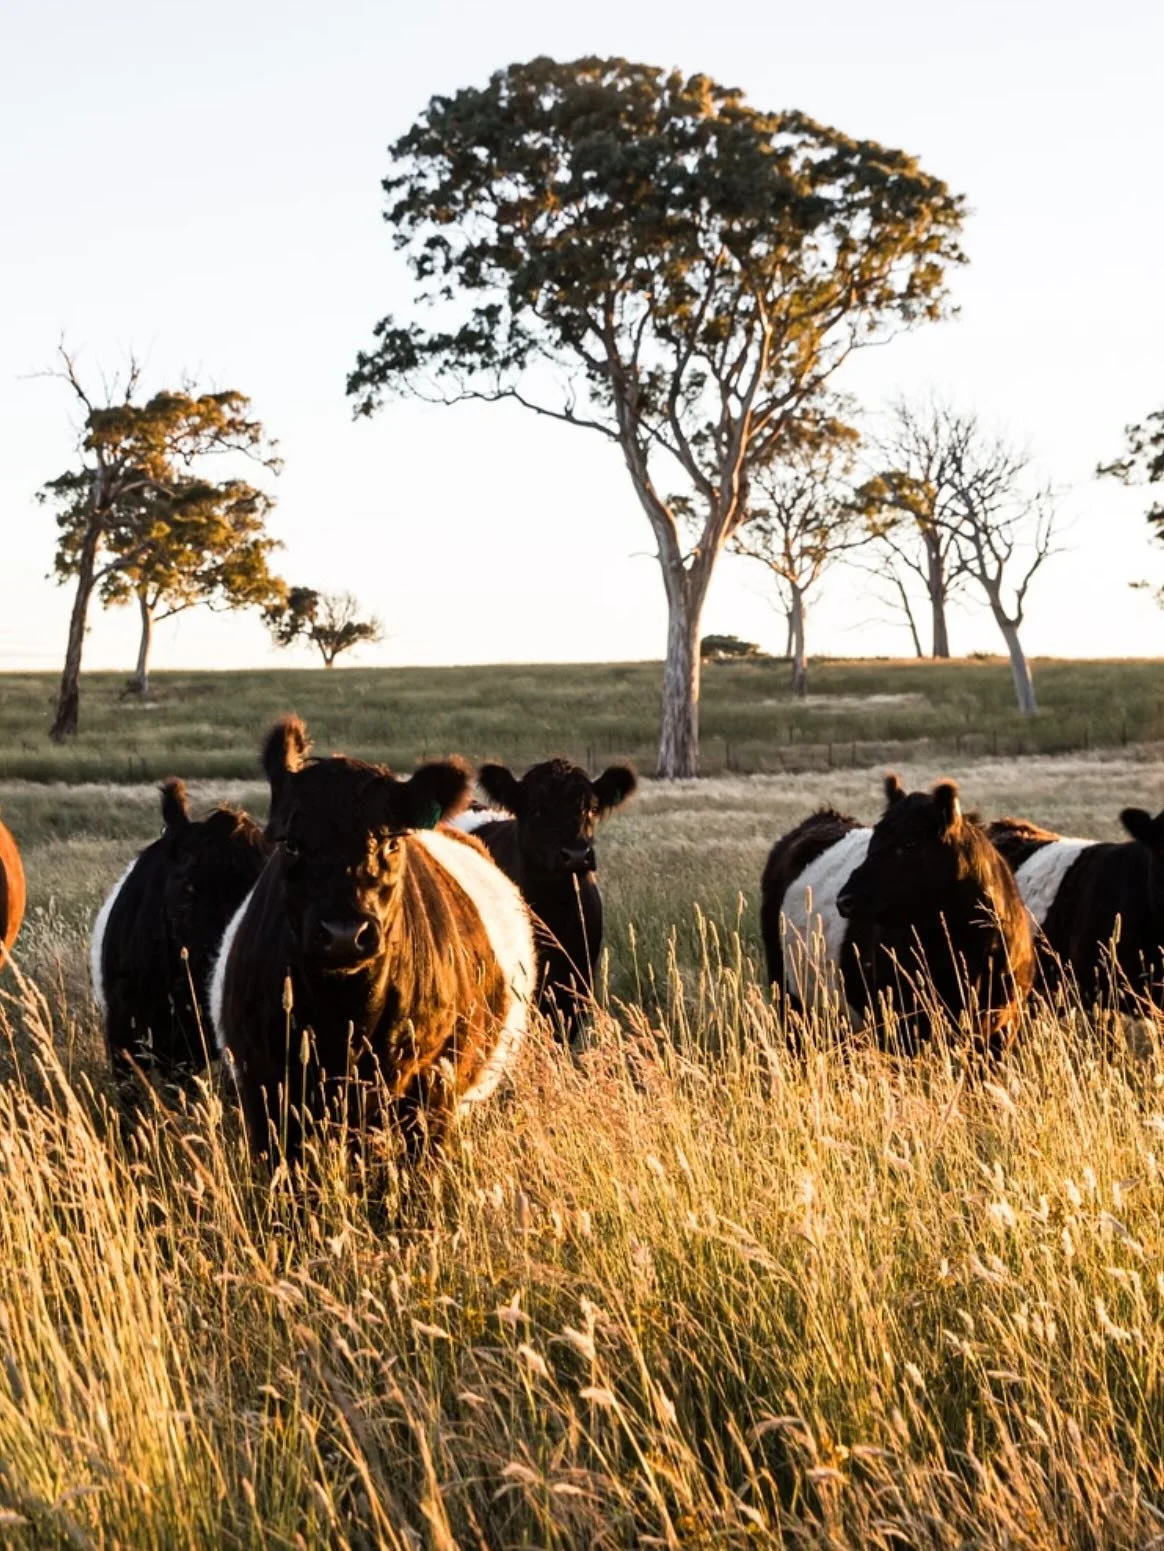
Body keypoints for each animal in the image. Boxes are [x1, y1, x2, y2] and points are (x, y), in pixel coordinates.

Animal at [210, 717, 535, 1168]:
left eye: (392, 842)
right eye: (289, 844)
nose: (345, 934)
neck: (344, 1015)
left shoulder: (430, 1091)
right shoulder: (264, 1090)